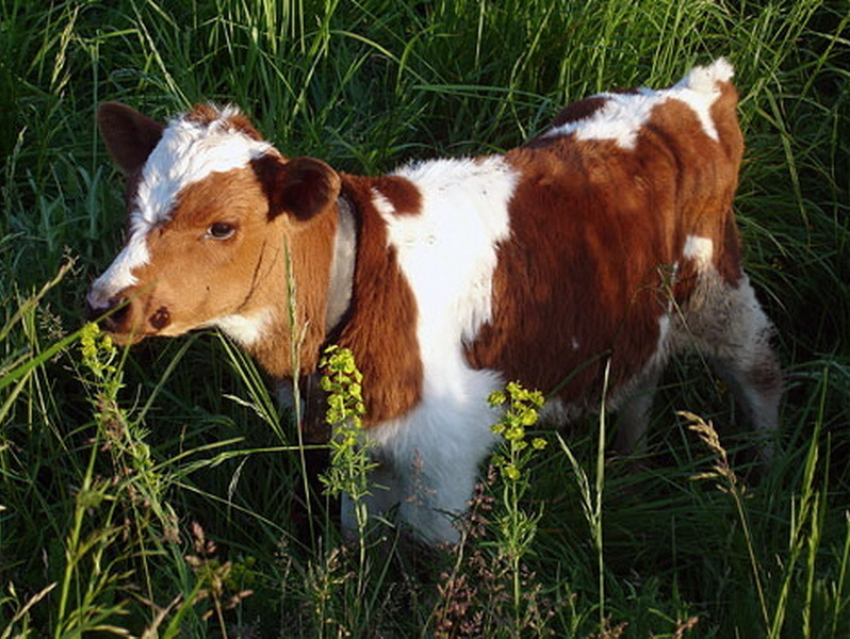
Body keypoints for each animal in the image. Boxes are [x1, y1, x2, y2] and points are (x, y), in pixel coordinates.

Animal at [88, 60, 780, 544]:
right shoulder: (360, 444)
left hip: (719, 291)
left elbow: (427, 563)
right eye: (130, 203)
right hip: (642, 316)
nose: (105, 301)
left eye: (222, 227)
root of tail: (690, 92)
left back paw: (769, 478)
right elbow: (358, 534)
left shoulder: (444, 455)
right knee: (640, 379)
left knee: (760, 372)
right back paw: (630, 475)